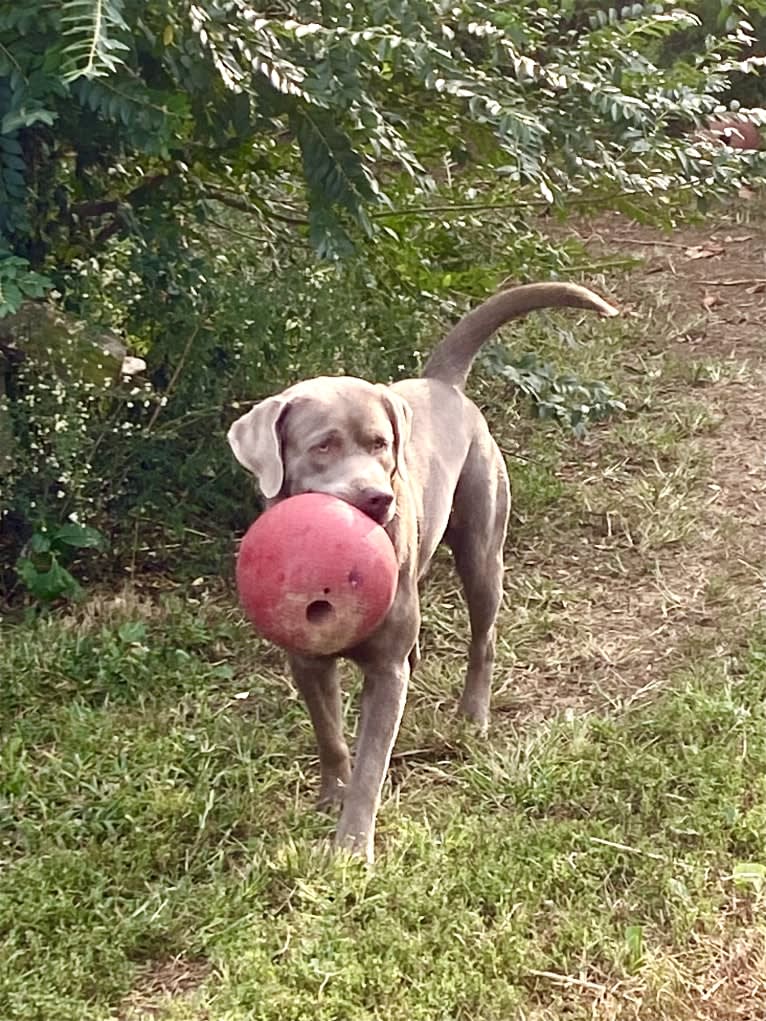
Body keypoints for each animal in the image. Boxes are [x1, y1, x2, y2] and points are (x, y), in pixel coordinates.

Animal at [227, 279, 616, 861]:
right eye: (323, 445)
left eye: (380, 444)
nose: (377, 497)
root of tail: (442, 381)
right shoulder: (308, 661)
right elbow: (331, 736)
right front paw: (330, 796)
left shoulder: (385, 673)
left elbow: (371, 761)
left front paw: (352, 845)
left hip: (482, 549)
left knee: (483, 637)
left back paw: (473, 716)